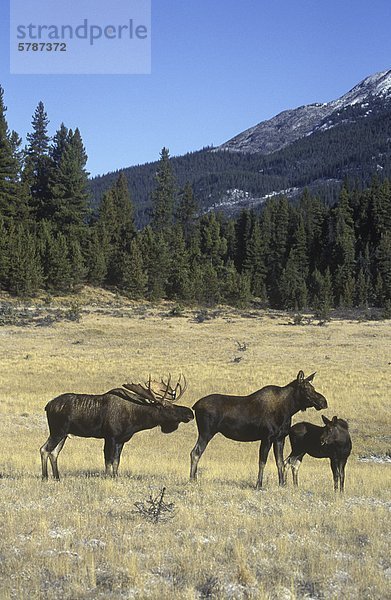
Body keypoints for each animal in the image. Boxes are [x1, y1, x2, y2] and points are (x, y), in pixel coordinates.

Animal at [39, 372, 193, 480]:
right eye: (167, 407)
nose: (190, 413)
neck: (135, 418)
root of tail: (47, 406)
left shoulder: (121, 440)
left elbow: (116, 462)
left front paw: (115, 477)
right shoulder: (110, 437)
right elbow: (108, 460)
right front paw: (107, 478)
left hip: (64, 434)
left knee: (54, 452)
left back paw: (57, 477)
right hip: (57, 431)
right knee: (44, 449)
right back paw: (45, 477)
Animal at [190, 368, 328, 490]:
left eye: (313, 388)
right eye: (306, 388)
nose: (324, 402)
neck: (289, 409)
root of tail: (195, 406)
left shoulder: (280, 438)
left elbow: (280, 462)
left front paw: (282, 484)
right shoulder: (266, 437)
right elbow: (262, 462)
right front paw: (259, 485)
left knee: (196, 452)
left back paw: (194, 479)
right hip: (206, 432)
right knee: (195, 452)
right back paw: (192, 480)